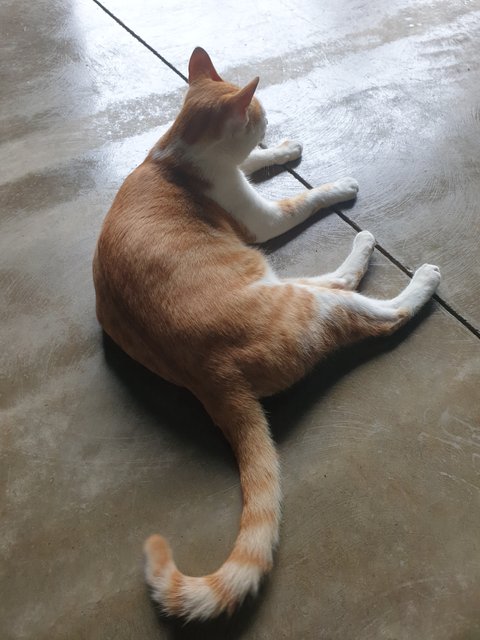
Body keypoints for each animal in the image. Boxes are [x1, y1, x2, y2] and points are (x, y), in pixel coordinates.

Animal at [92, 47, 441, 621]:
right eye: (258, 115)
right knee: (373, 307)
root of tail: (211, 377)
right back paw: (401, 267)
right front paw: (335, 185)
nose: (270, 123)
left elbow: (255, 162)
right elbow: (304, 199)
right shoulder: (263, 219)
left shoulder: (237, 171)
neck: (175, 154)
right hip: (307, 301)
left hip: (287, 287)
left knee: (333, 281)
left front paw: (283, 149)